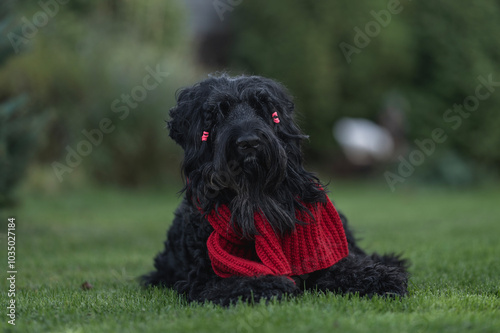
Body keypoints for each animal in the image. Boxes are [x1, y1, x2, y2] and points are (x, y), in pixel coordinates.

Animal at [141, 74, 406, 304]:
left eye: (263, 109)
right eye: (217, 114)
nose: (249, 142)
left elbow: (346, 267)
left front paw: (380, 277)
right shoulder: (202, 280)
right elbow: (241, 282)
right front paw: (272, 284)